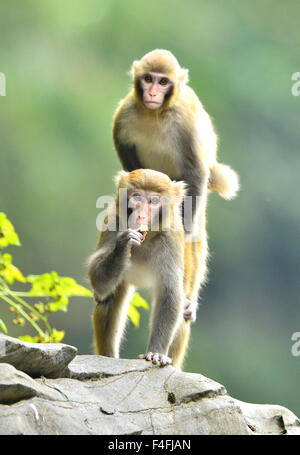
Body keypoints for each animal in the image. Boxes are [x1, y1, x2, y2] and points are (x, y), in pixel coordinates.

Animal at [87, 169, 190, 368]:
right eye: (137, 197)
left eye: (154, 201)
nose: (141, 216)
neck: (147, 237)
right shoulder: (113, 221)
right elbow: (97, 280)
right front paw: (122, 246)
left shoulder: (171, 236)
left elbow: (170, 293)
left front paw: (156, 353)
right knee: (109, 297)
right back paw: (108, 356)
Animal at [111, 50, 240, 350]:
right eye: (147, 79)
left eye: (163, 81)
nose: (152, 93)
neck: (154, 114)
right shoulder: (125, 114)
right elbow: (128, 159)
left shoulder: (185, 124)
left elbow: (195, 172)